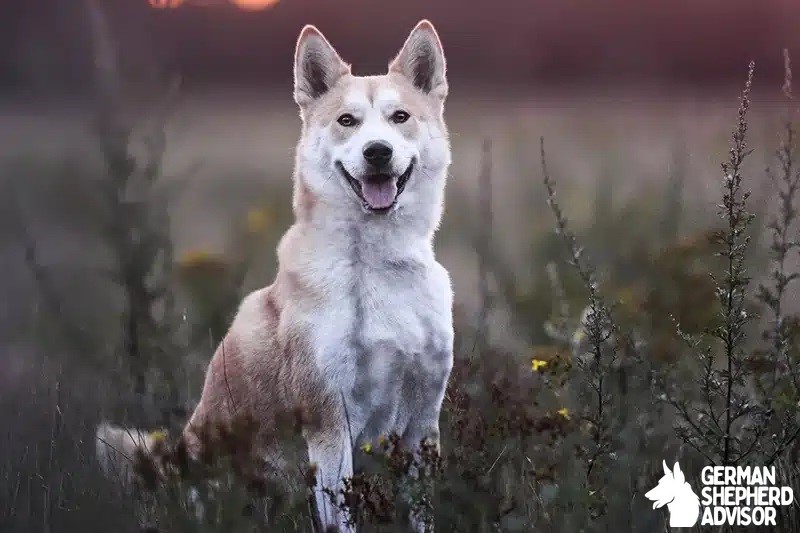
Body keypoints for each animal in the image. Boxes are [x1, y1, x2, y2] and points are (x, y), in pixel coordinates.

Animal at [97, 18, 454, 528]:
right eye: (347, 121)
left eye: (400, 117)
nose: (378, 152)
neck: (379, 266)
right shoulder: (329, 424)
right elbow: (339, 517)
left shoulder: (423, 423)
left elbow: (422, 514)